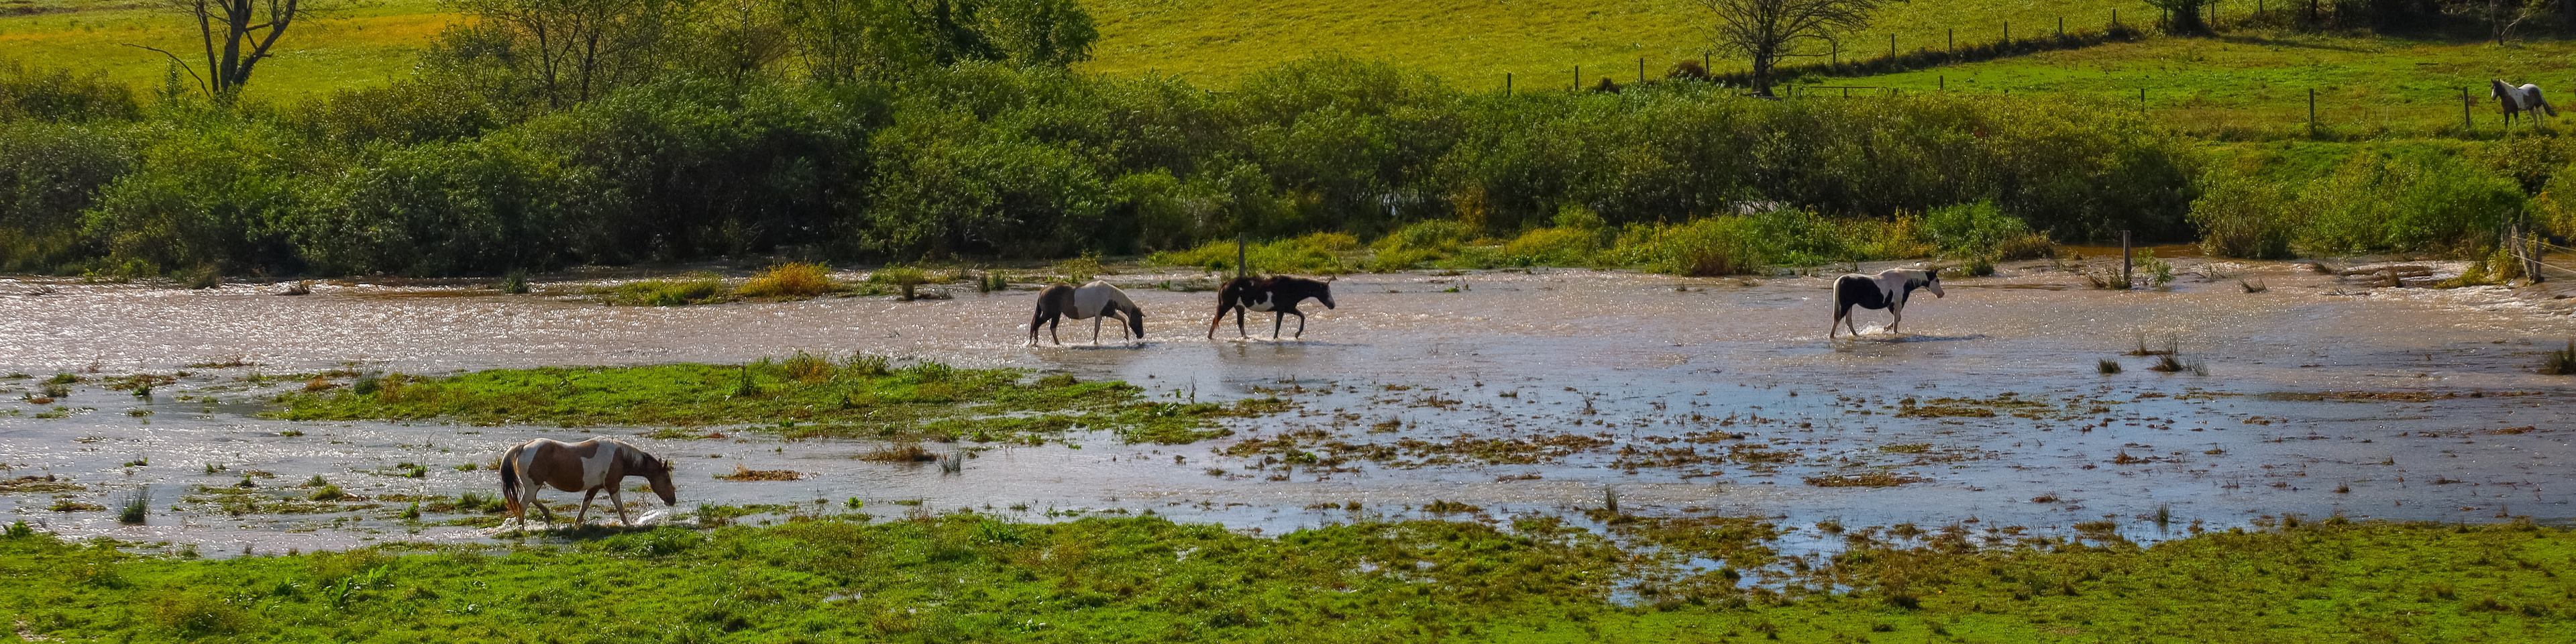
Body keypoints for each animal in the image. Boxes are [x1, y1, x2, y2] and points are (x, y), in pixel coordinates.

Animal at [497, 437, 680, 528]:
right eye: (666, 479)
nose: (672, 500)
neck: (620, 456)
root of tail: (523, 447)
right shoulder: (613, 485)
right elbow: (619, 506)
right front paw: (628, 524)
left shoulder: (595, 487)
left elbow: (584, 505)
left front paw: (577, 524)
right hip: (533, 484)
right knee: (523, 504)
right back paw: (522, 528)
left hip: (534, 485)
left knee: (531, 500)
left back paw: (547, 516)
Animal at [1025, 279, 1148, 345]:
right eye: (1139, 320)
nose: (1141, 335)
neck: (1110, 295)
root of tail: (1043, 290)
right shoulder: (1102, 314)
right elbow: (1097, 329)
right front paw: (1095, 342)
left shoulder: (1107, 313)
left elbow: (1123, 320)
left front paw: (1126, 337)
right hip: (1049, 314)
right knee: (1037, 324)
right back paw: (1034, 342)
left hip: (1056, 315)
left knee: (1050, 327)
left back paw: (1053, 343)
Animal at [1205, 274, 1339, 339]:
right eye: (1326, 292)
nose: (1332, 305)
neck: (1292, 288)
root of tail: (1225, 284)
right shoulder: (1283, 309)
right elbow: (1279, 325)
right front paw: (1278, 337)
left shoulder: (1288, 309)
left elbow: (1302, 316)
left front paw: (1296, 334)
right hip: (1225, 306)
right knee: (1215, 321)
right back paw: (1210, 337)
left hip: (1240, 307)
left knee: (1240, 323)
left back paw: (1246, 337)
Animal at [1823, 268, 1937, 339]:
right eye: (1937, 280)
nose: (1940, 294)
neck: (1904, 280)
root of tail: (1839, 280)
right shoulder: (1897, 304)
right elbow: (1897, 319)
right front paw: (1891, 331)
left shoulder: (1891, 305)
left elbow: (1897, 319)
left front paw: (1884, 329)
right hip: (1845, 306)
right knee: (1837, 320)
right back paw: (1832, 336)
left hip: (1849, 306)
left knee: (1848, 321)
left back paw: (1856, 335)